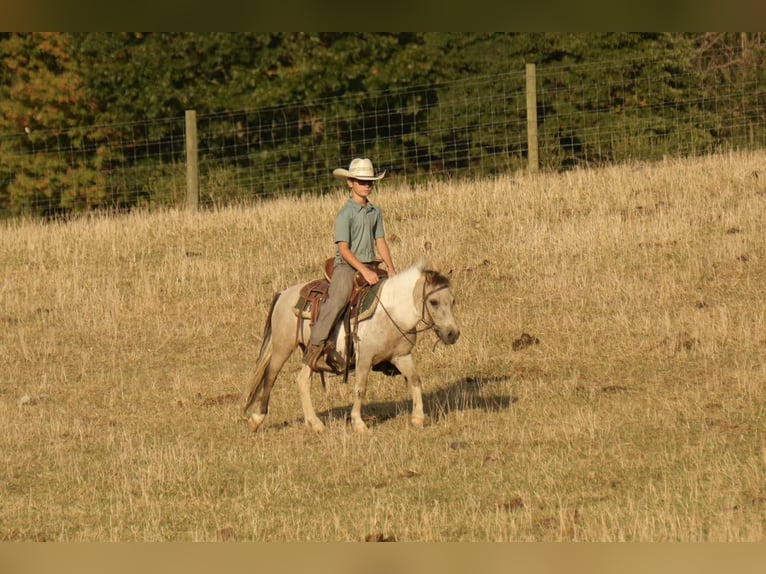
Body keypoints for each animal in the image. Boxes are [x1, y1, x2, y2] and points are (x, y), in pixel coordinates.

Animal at [242, 259, 460, 433]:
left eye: (452, 300)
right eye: (433, 302)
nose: (453, 334)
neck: (391, 312)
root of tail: (284, 294)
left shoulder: (401, 356)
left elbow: (415, 380)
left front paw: (418, 418)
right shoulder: (364, 358)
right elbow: (360, 388)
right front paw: (359, 423)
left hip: (310, 353)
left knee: (302, 380)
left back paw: (315, 423)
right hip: (283, 346)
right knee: (270, 377)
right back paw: (256, 419)